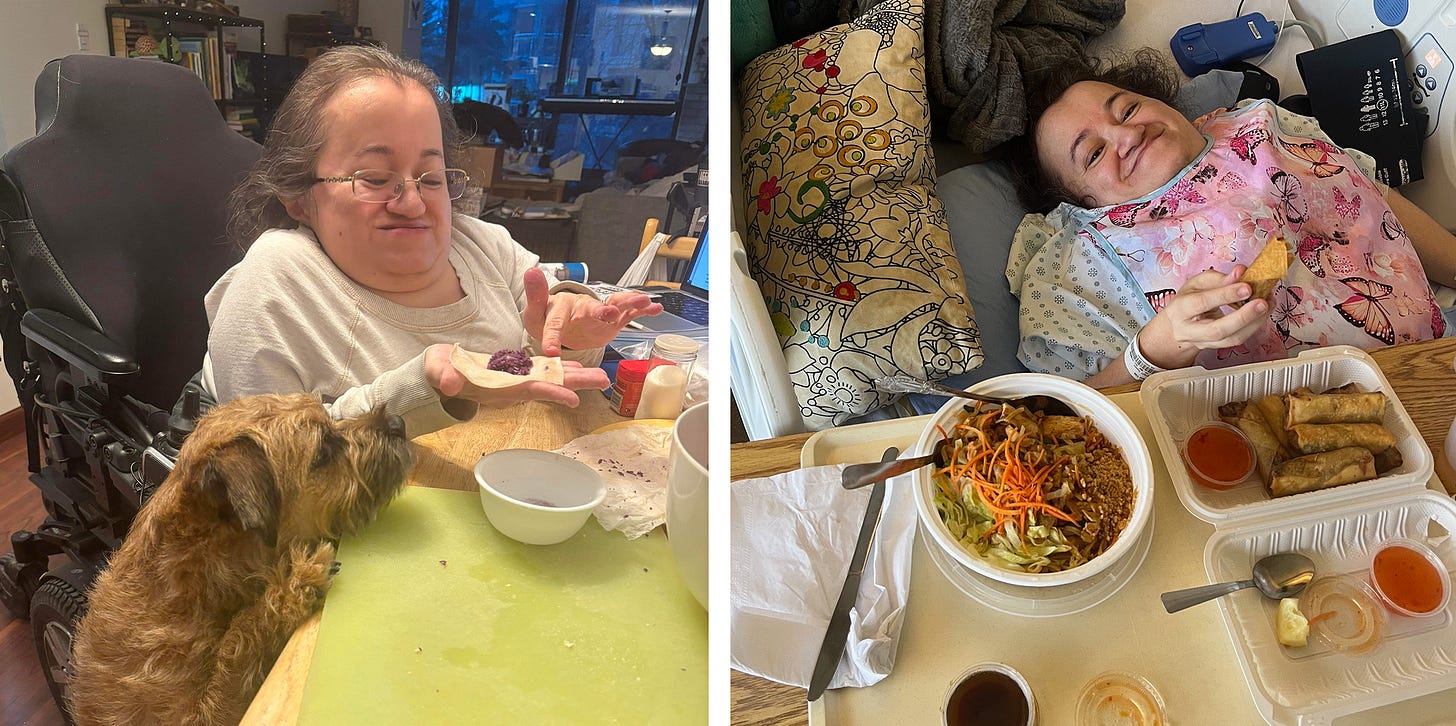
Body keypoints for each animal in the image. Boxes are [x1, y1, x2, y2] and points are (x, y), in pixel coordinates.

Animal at [68, 395, 416, 726]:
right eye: (324, 450)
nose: (399, 423)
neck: (193, 580)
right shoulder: (200, 716)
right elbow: (236, 646)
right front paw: (297, 583)